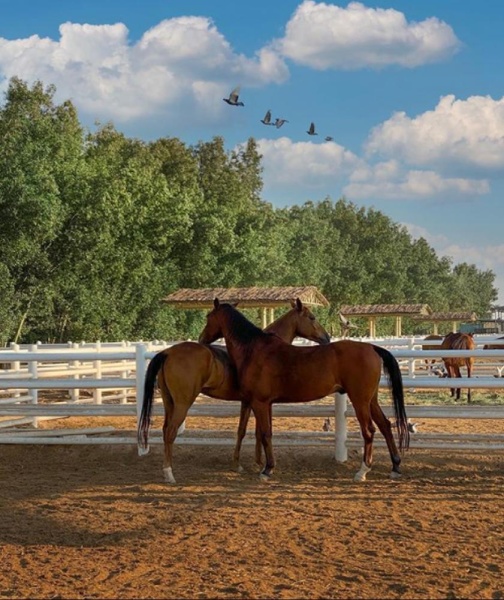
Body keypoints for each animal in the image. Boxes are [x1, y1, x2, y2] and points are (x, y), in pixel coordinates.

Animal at [198, 300, 410, 482]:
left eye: (208, 316)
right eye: (311, 318)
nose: (201, 339)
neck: (255, 350)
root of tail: (372, 348)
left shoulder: (259, 402)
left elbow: (264, 433)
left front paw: (267, 469)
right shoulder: (264, 404)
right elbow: (266, 433)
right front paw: (264, 465)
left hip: (360, 401)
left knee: (369, 431)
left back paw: (363, 471)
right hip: (370, 400)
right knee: (385, 425)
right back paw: (395, 467)